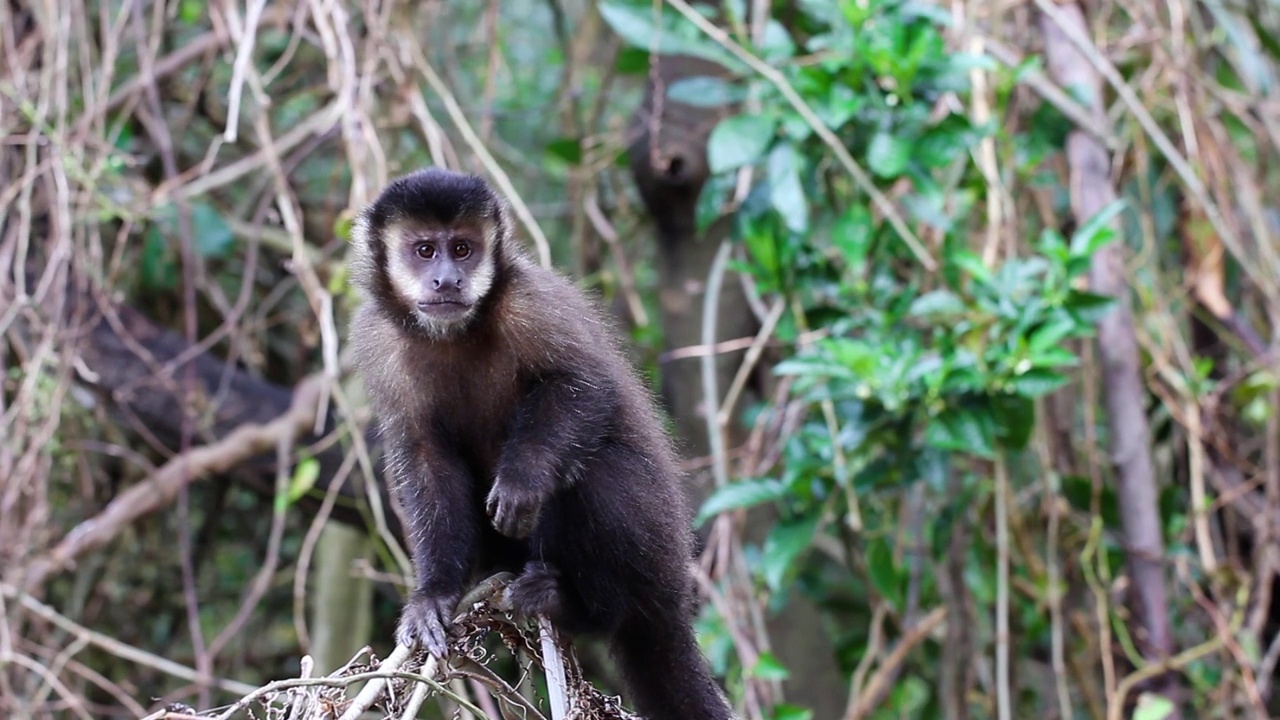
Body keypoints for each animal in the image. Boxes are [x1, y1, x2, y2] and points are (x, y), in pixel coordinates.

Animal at [345, 166, 737, 717]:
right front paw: (434, 594)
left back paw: (584, 607)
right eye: (424, 250)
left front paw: (522, 482)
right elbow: (424, 457)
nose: (447, 279)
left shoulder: (531, 304)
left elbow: (584, 385)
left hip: (658, 561)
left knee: (598, 474)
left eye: (462, 249)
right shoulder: (378, 339)